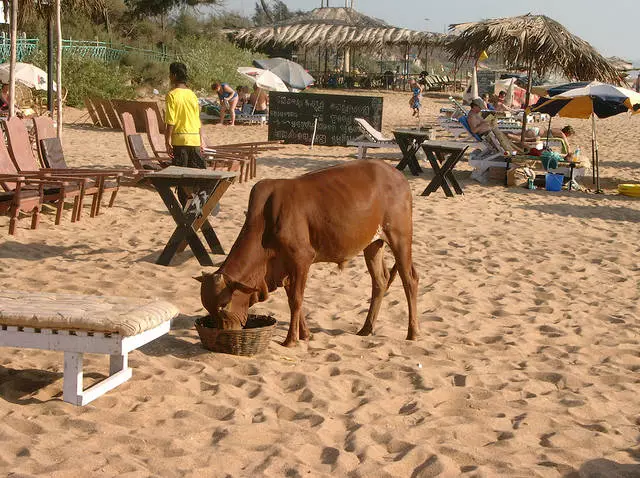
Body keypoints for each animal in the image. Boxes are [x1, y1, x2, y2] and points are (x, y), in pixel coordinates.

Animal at [198, 159, 422, 346]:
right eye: (208, 307)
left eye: (224, 306)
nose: (223, 334)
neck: (266, 218)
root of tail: (397, 175)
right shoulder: (285, 266)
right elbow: (293, 299)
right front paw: (305, 334)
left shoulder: (301, 259)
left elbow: (296, 300)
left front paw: (291, 340)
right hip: (373, 244)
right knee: (380, 281)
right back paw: (366, 328)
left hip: (400, 237)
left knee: (409, 279)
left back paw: (413, 332)